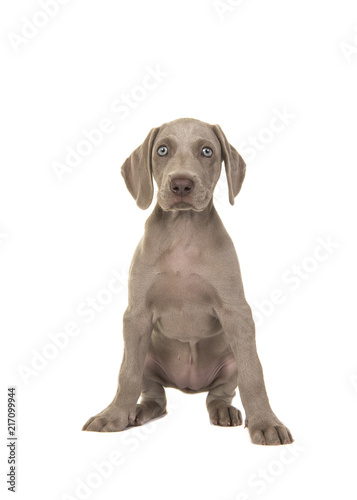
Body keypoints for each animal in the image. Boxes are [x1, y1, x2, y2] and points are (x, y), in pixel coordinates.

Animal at [82, 119, 292, 448]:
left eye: (207, 151)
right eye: (162, 150)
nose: (181, 184)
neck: (183, 231)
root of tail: (188, 386)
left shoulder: (238, 314)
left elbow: (254, 374)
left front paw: (266, 423)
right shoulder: (136, 315)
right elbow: (126, 375)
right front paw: (113, 416)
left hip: (229, 361)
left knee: (218, 395)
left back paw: (224, 411)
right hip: (147, 356)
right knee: (156, 397)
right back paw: (137, 412)